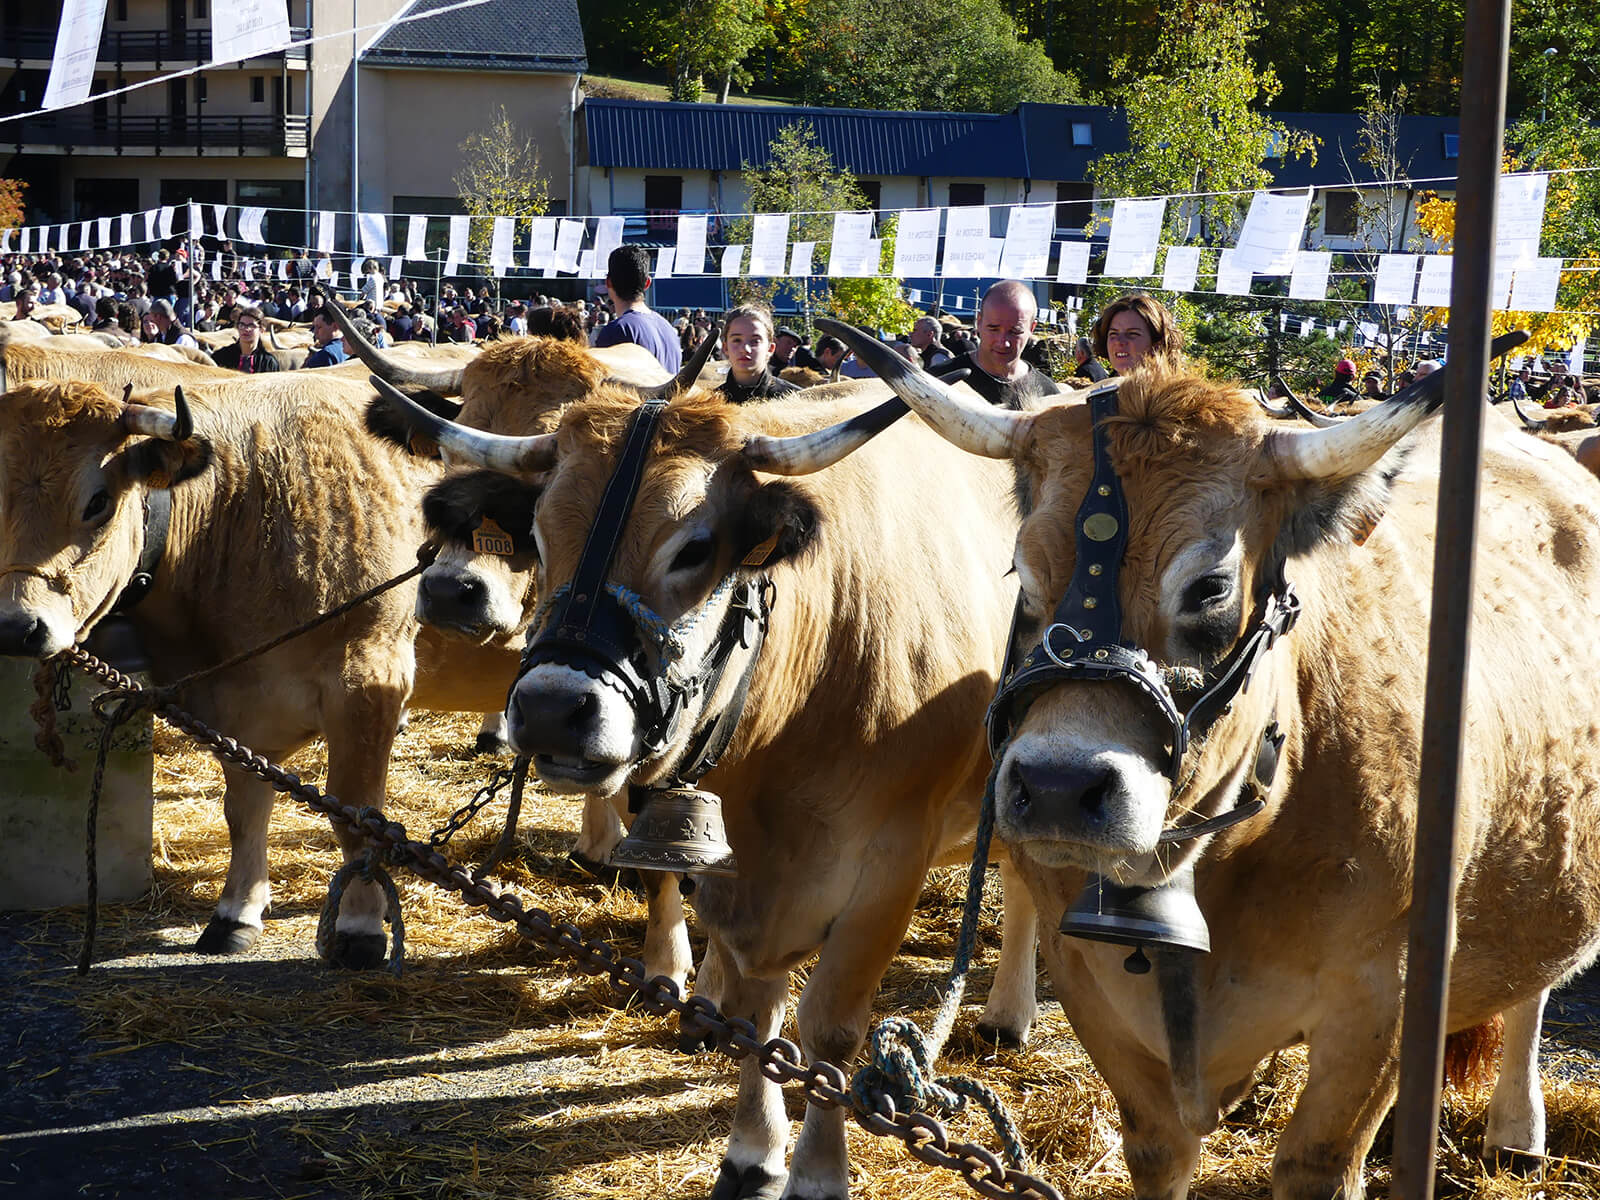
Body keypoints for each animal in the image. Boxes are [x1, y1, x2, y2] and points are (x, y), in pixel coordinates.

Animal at [0, 374, 518, 966]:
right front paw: (235, 914)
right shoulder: (226, 704)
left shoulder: (369, 682)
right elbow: (244, 808)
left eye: (98, 501)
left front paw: (361, 926)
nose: (16, 627)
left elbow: (355, 814)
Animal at [374, 377, 1049, 1200]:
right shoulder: (735, 871)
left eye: (694, 549)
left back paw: (1009, 1011)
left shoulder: (890, 867)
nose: (551, 708)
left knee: (1023, 882)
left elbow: (829, 1031)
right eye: (537, 534)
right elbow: (760, 1017)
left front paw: (817, 1173)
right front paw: (753, 1150)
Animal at [832, 321, 1600, 1200]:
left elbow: (1318, 1163)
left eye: (1208, 589)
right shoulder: (1091, 983)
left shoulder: (1384, 1000)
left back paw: (1517, 1130)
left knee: (1532, 993)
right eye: (1021, 574)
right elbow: (1159, 1150)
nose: (1058, 785)